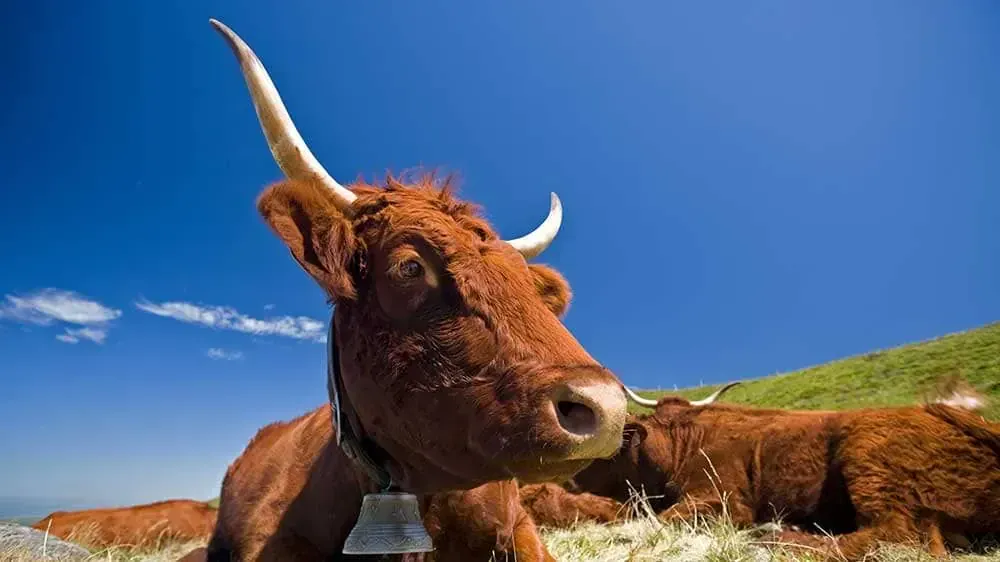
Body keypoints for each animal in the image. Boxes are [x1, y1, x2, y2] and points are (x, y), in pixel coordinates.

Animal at [573, 383, 1000, 560]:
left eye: (612, 446)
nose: (573, 477)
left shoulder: (722, 501)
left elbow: (657, 521)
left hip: (870, 463)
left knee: (896, 535)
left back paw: (780, 536)